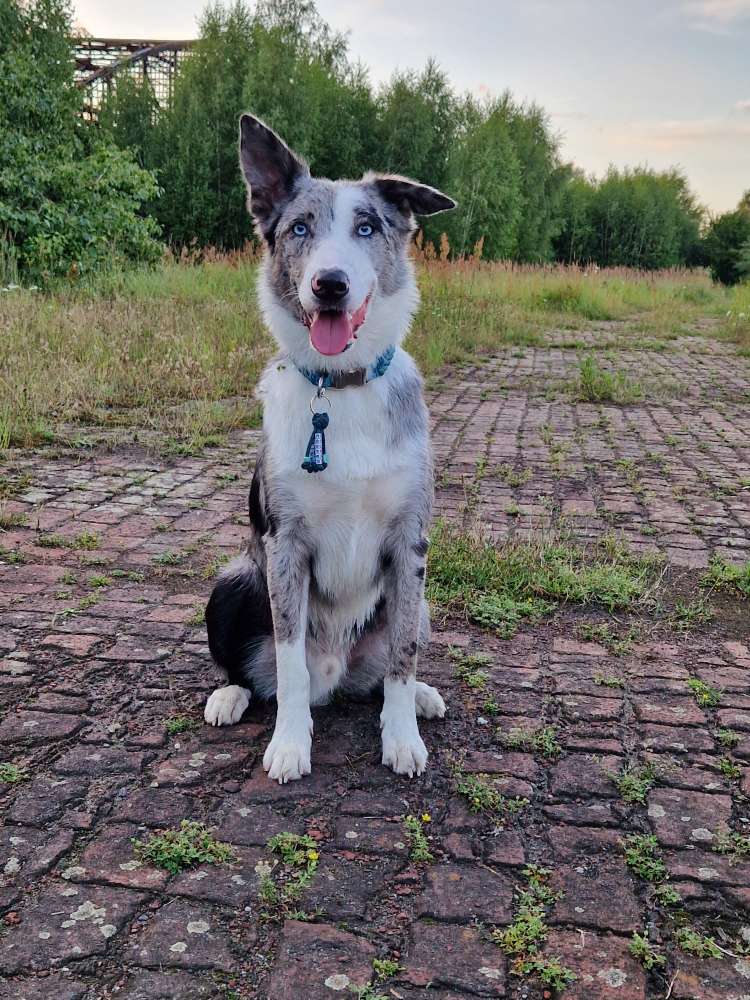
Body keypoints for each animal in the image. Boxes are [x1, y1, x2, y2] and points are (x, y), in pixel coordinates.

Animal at [203, 113, 456, 776]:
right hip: (233, 581)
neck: (339, 388)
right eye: (300, 229)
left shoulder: (409, 545)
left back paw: (420, 697)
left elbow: (402, 658)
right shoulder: (285, 548)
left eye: (367, 227)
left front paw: (401, 736)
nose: (330, 284)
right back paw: (230, 695)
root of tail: (335, 677)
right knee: (255, 671)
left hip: (421, 602)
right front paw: (291, 744)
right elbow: (289, 664)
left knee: (386, 668)